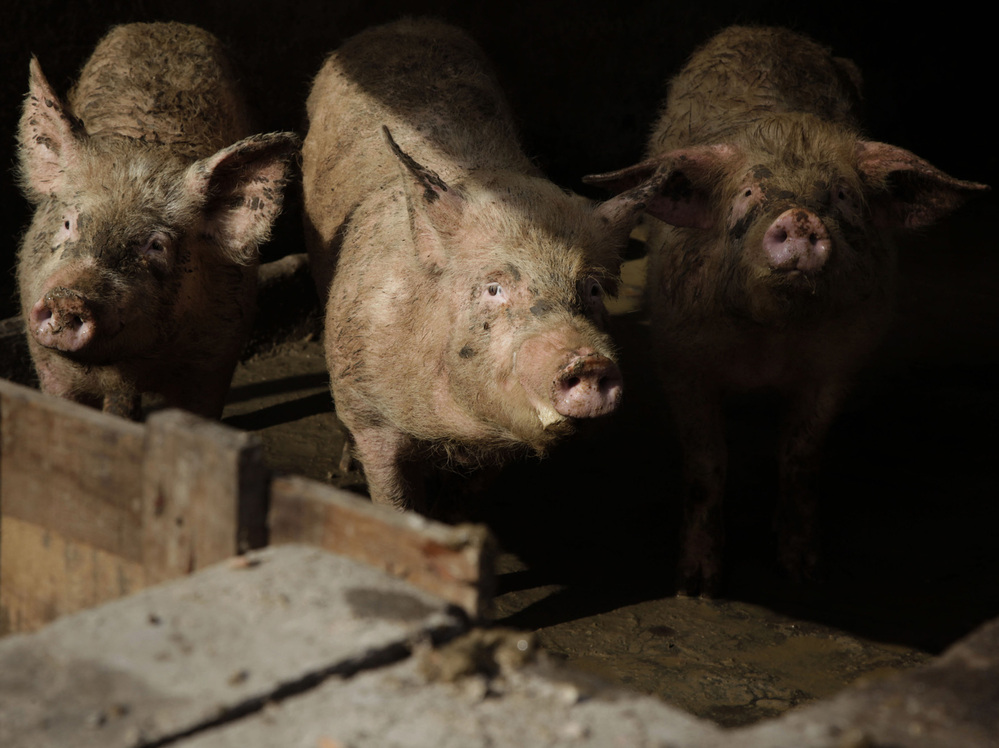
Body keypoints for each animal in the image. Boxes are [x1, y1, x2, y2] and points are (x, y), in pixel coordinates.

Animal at [17, 22, 299, 420]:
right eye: (69, 223)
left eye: (155, 245)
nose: (69, 297)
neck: (125, 367)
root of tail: (164, 25)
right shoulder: (47, 364)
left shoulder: (218, 354)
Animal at [302, 19, 659, 510]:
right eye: (494, 288)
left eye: (590, 289)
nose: (586, 360)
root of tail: (399, 24)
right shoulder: (367, 410)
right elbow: (391, 491)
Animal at [585, 26, 988, 595]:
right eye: (750, 191)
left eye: (840, 195)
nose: (799, 216)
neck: (770, 343)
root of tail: (758, 28)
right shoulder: (681, 357)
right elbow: (707, 464)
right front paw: (697, 586)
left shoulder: (840, 361)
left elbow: (800, 456)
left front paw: (803, 571)